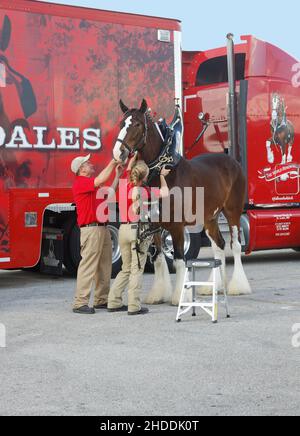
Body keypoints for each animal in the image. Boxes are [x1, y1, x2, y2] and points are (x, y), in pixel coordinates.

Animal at [113, 99, 251, 304]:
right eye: (121, 124)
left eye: (137, 124)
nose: (118, 152)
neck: (164, 173)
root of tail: (233, 162)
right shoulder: (155, 226)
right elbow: (159, 258)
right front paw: (158, 294)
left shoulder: (176, 227)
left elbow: (178, 261)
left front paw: (180, 296)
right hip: (210, 217)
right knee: (218, 246)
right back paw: (214, 287)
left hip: (232, 212)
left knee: (234, 246)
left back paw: (238, 287)